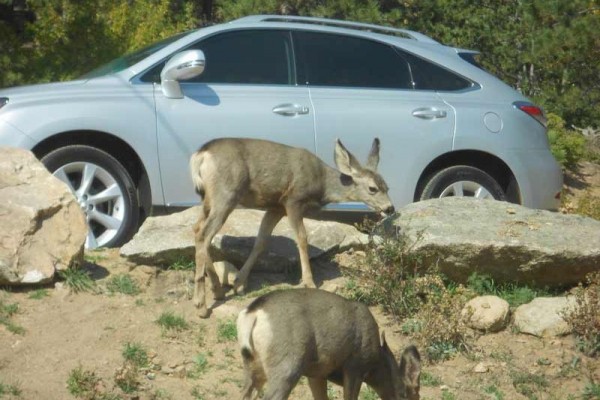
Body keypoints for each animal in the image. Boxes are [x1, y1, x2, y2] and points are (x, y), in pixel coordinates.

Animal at [189, 136, 394, 318]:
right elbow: (302, 239)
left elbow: (261, 242)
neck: (321, 184)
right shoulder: (293, 200)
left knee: (197, 229)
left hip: (208, 199)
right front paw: (310, 282)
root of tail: (200, 155)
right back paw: (201, 306)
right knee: (204, 234)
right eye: (373, 188)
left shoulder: (276, 207)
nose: (390, 208)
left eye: (387, 186)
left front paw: (239, 282)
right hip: (226, 193)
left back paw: (217, 290)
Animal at [236, 290, 422, 398]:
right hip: (286, 366)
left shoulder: (316, 373)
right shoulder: (355, 367)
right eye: (409, 395)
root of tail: (252, 313)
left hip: (254, 367)